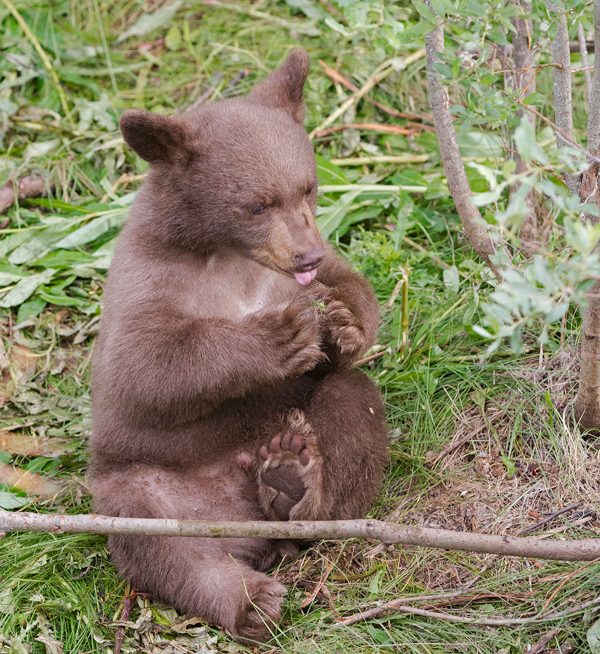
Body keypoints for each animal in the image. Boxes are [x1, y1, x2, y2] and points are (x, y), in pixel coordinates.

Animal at [89, 49, 389, 642]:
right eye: (255, 205)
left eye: (308, 188)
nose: (305, 255)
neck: (227, 257)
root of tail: (246, 522)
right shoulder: (146, 276)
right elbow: (140, 365)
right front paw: (279, 335)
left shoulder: (302, 270)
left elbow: (349, 285)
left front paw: (344, 324)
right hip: (138, 484)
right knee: (160, 545)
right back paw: (250, 600)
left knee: (351, 404)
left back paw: (294, 481)